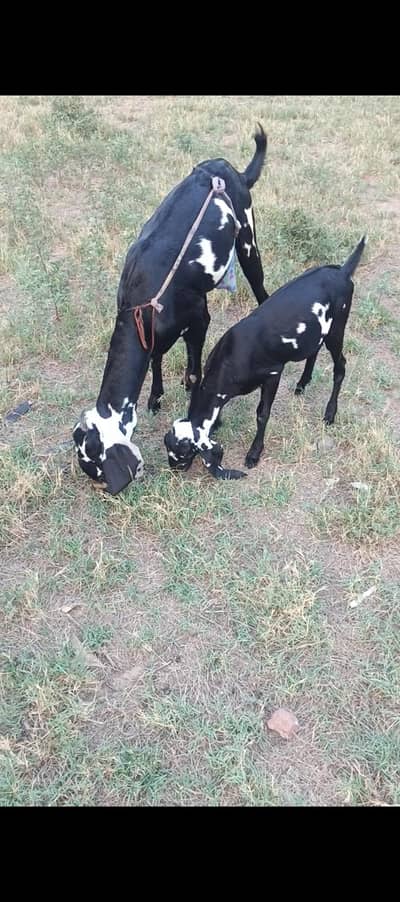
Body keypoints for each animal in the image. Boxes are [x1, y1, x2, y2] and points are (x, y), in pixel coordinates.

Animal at [73, 126, 268, 495]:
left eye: (101, 472)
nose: (112, 491)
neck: (143, 294)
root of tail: (225, 167)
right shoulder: (153, 332)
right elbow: (157, 358)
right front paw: (155, 398)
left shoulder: (199, 318)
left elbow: (194, 372)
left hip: (249, 241)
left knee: (263, 291)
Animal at [164, 237, 366, 480]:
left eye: (183, 454)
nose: (174, 469)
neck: (231, 358)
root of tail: (343, 272)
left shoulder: (273, 374)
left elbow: (262, 413)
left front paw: (254, 454)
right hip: (317, 332)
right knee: (314, 351)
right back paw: (302, 383)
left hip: (337, 329)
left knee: (341, 366)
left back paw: (329, 413)